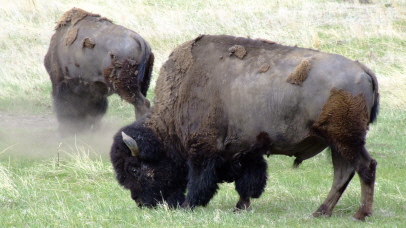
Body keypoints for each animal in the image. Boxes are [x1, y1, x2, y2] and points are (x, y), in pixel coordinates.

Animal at [109, 34, 380, 221]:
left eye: (134, 168)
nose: (141, 202)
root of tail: (362, 70)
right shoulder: (248, 151)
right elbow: (249, 181)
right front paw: (241, 207)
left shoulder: (203, 150)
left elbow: (201, 180)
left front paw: (189, 205)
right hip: (337, 143)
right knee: (343, 173)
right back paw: (320, 212)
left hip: (346, 139)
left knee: (365, 167)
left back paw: (359, 215)